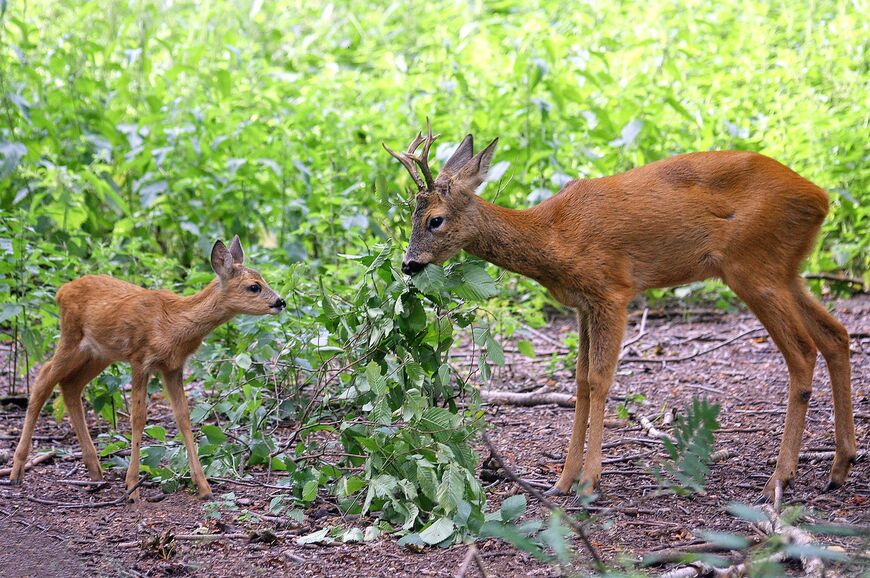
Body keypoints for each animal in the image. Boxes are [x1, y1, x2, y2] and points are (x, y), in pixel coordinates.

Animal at [8, 236, 288, 498]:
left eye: (263, 279)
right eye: (254, 286)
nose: (280, 301)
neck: (173, 324)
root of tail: (61, 291)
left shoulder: (173, 367)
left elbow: (183, 417)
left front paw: (204, 487)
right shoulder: (140, 360)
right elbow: (138, 417)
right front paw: (132, 486)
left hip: (100, 353)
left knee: (70, 385)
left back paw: (95, 470)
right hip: (71, 337)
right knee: (43, 379)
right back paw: (16, 471)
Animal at [386, 121, 860, 500]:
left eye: (435, 220)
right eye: (412, 217)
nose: (409, 264)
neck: (553, 235)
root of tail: (820, 198)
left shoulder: (612, 291)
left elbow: (599, 380)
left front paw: (589, 481)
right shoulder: (582, 305)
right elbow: (578, 382)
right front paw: (562, 481)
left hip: (753, 267)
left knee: (802, 351)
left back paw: (780, 479)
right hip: (786, 270)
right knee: (836, 334)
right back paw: (839, 468)